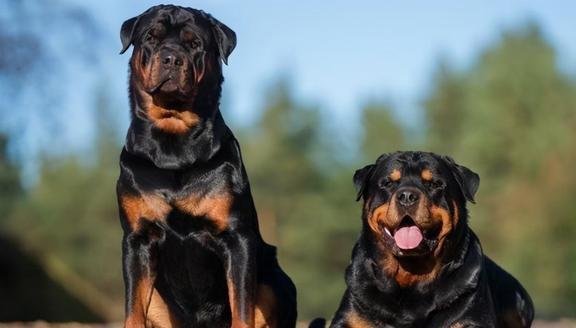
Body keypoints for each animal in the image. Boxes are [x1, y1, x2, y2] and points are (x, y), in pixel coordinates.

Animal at [116, 5, 296, 328]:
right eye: (151, 37)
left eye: (194, 43)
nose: (171, 57)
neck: (173, 145)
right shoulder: (137, 240)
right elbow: (133, 309)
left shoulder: (237, 239)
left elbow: (241, 308)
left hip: (276, 282)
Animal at [326, 152, 532, 326]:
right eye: (388, 183)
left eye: (434, 184)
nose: (407, 196)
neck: (410, 275)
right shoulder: (350, 316)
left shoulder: (473, 319)